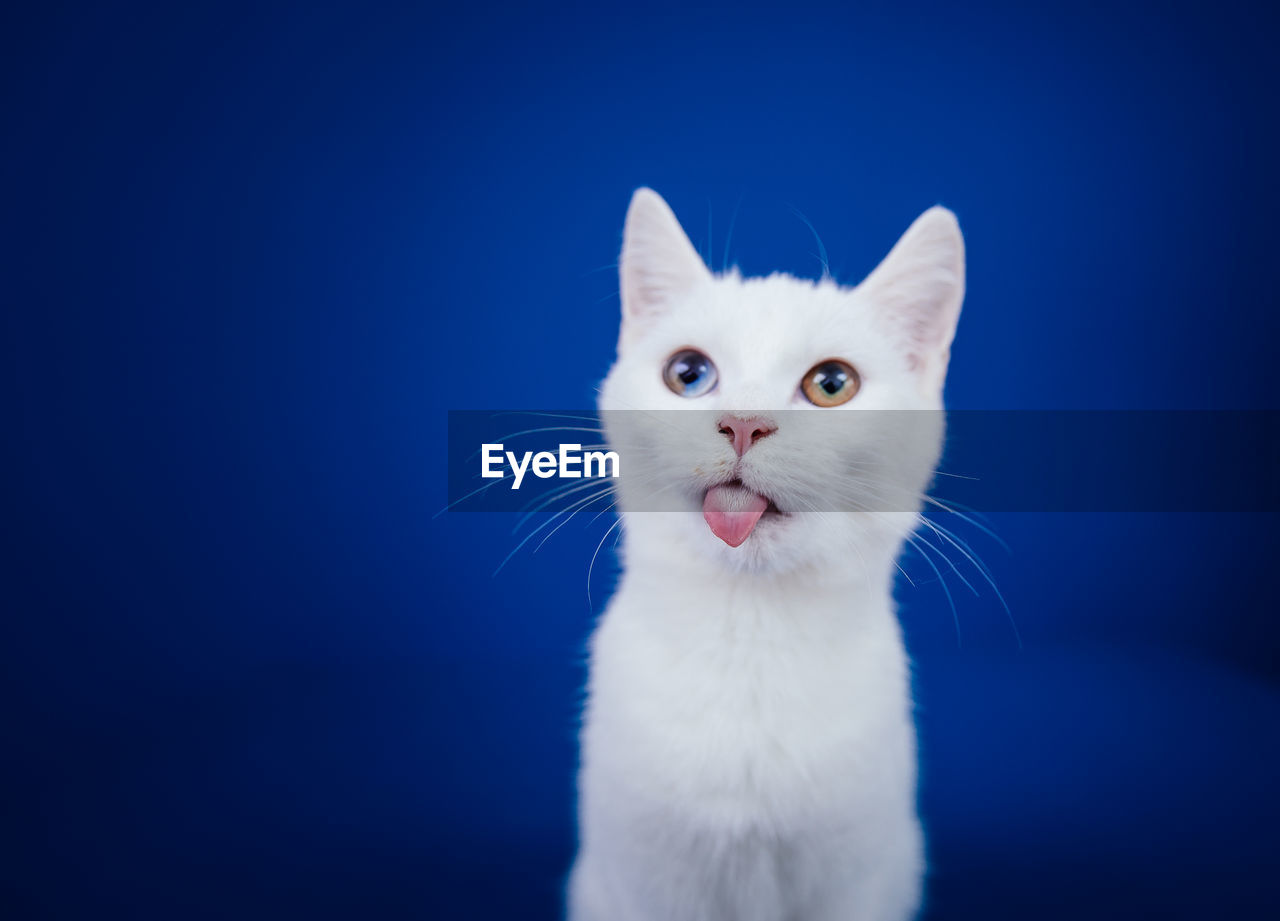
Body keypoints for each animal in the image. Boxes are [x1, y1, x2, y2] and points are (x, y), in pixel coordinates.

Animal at [565, 189, 962, 921]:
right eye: (688, 373)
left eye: (832, 383)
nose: (745, 422)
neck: (750, 637)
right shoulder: (643, 879)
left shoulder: (859, 878)